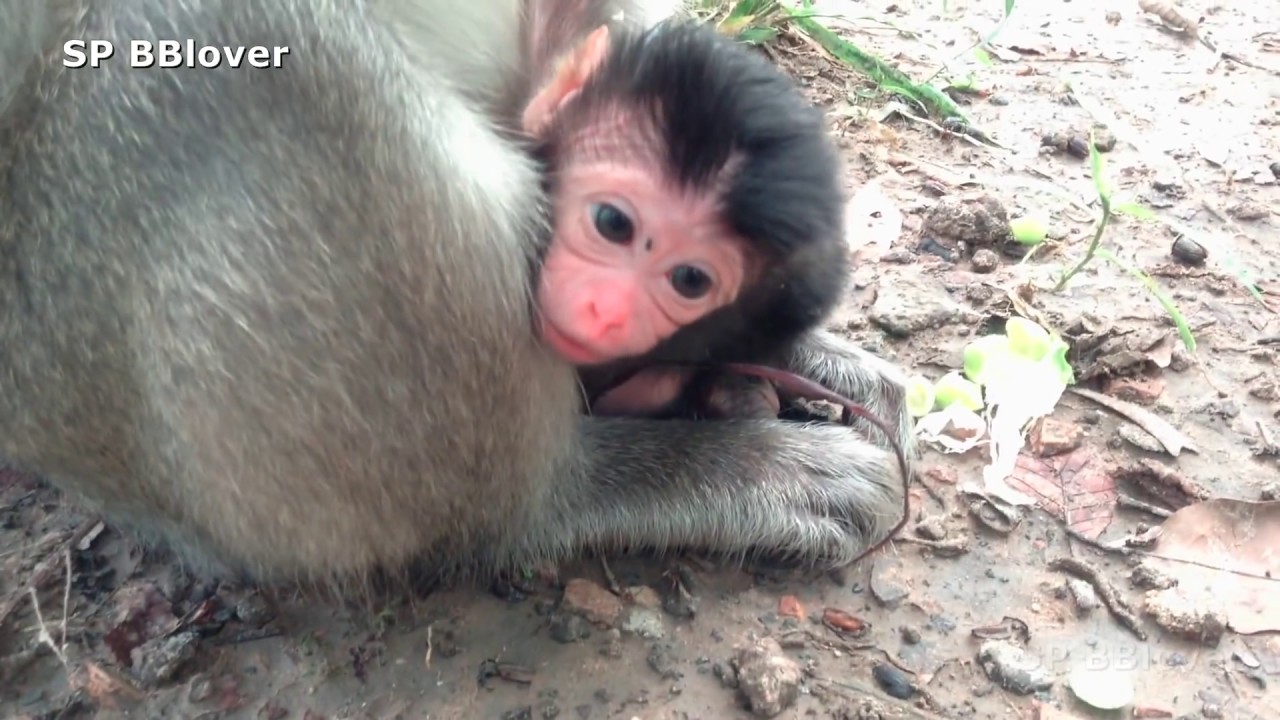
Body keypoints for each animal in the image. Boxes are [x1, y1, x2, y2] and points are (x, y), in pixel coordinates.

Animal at [0, 0, 914, 586]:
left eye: (690, 278)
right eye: (613, 225)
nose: (605, 311)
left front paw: (775, 337)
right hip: (71, 353)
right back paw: (635, 478)